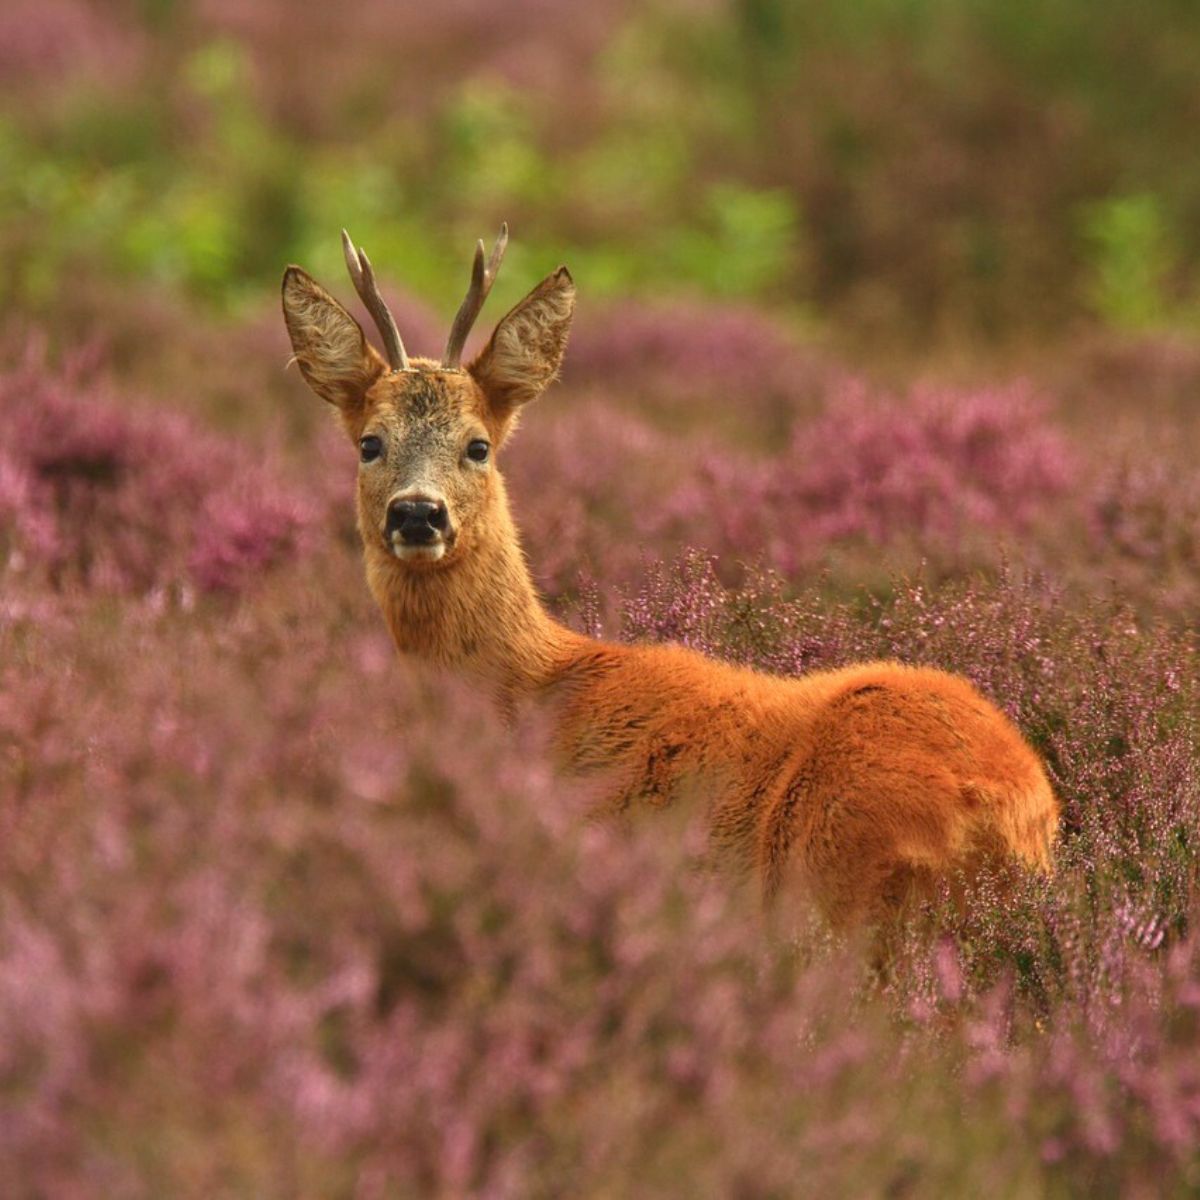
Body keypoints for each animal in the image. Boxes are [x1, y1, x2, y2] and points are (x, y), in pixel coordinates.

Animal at [283, 229, 1060, 931]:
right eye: (369, 443)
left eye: (478, 445)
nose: (418, 513)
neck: (529, 687)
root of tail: (1017, 810)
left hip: (839, 869)